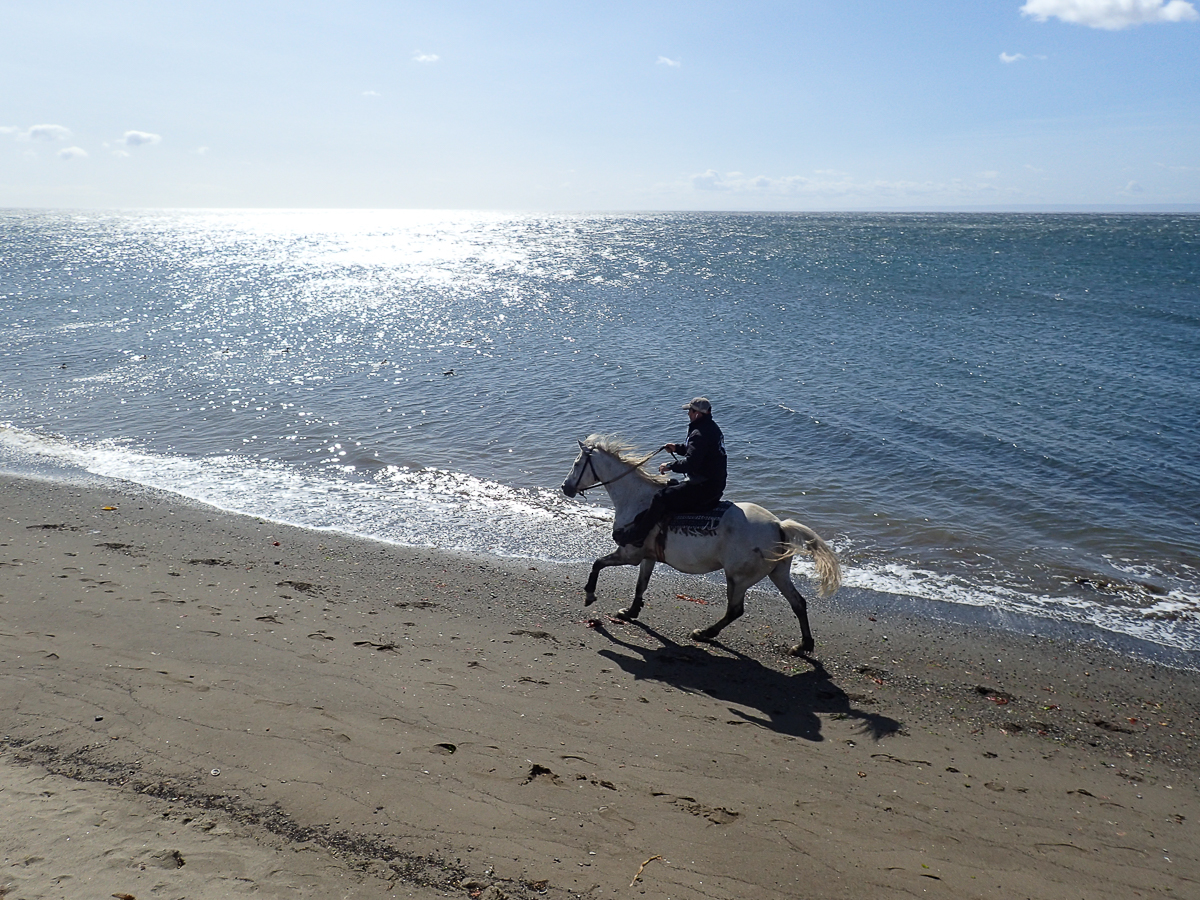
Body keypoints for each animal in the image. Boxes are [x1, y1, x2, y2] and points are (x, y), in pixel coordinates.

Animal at [556, 436, 840, 657]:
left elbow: (597, 563)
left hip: (738, 578)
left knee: (735, 609)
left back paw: (704, 633)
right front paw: (630, 612)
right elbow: (641, 585)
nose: (565, 487)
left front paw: (589, 595)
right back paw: (803, 646)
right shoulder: (648, 556)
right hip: (777, 573)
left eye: (577, 464)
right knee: (798, 603)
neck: (638, 501)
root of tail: (779, 525)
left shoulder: (629, 553)